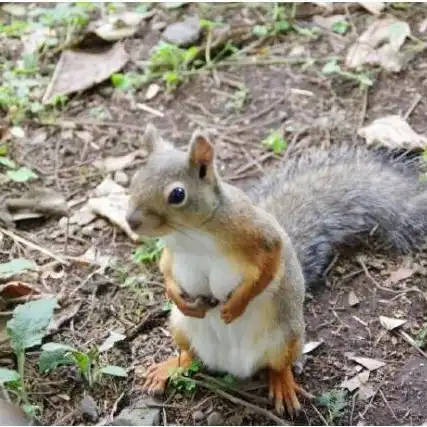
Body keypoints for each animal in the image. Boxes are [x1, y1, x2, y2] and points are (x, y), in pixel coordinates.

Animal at [125, 124, 427, 418]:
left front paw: (236, 305)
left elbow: (270, 264)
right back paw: (168, 367)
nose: (131, 221)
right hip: (180, 328)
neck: (191, 233)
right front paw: (176, 295)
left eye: (177, 195)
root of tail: (234, 367)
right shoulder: (170, 252)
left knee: (279, 366)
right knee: (191, 356)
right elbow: (165, 269)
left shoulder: (258, 233)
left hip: (286, 338)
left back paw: (284, 386)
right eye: (134, 179)